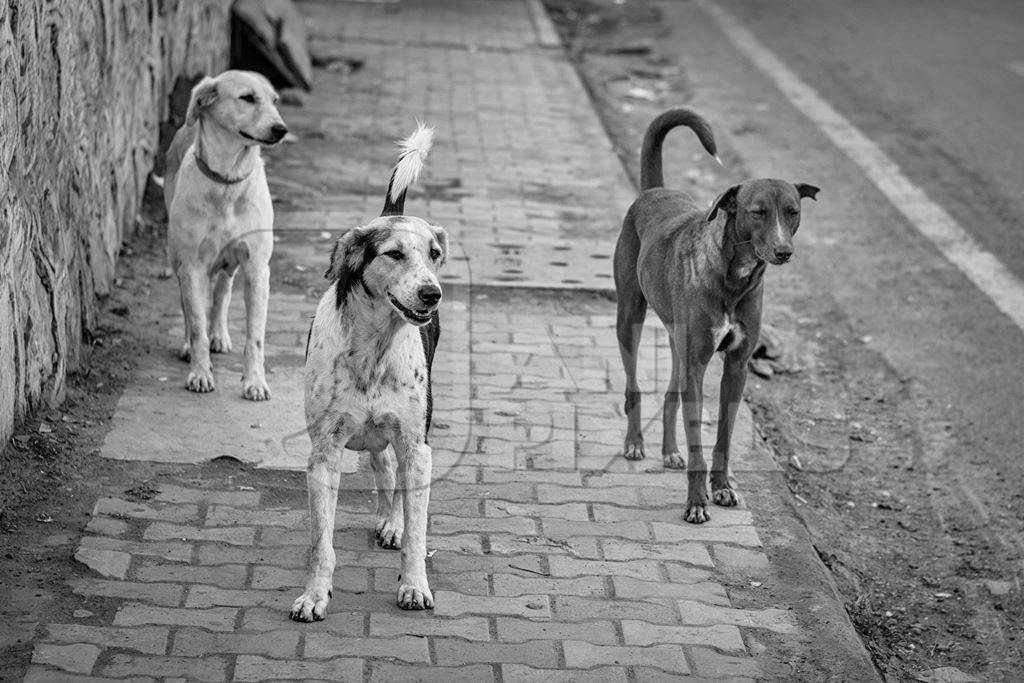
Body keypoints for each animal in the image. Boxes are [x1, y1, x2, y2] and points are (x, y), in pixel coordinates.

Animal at [288, 122, 448, 618]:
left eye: (434, 253)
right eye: (393, 254)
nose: (432, 294)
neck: (375, 348)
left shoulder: (418, 448)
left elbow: (417, 532)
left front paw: (414, 585)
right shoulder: (323, 454)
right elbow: (320, 543)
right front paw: (314, 595)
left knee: (391, 472)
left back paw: (392, 523)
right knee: (381, 464)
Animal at [610, 107, 819, 524]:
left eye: (793, 212)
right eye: (758, 213)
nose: (784, 252)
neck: (734, 278)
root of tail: (652, 192)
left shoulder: (735, 367)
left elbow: (723, 436)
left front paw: (721, 488)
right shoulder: (697, 366)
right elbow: (698, 445)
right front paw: (696, 502)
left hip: (676, 341)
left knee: (671, 395)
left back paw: (669, 452)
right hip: (630, 318)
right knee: (633, 386)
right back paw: (635, 443)